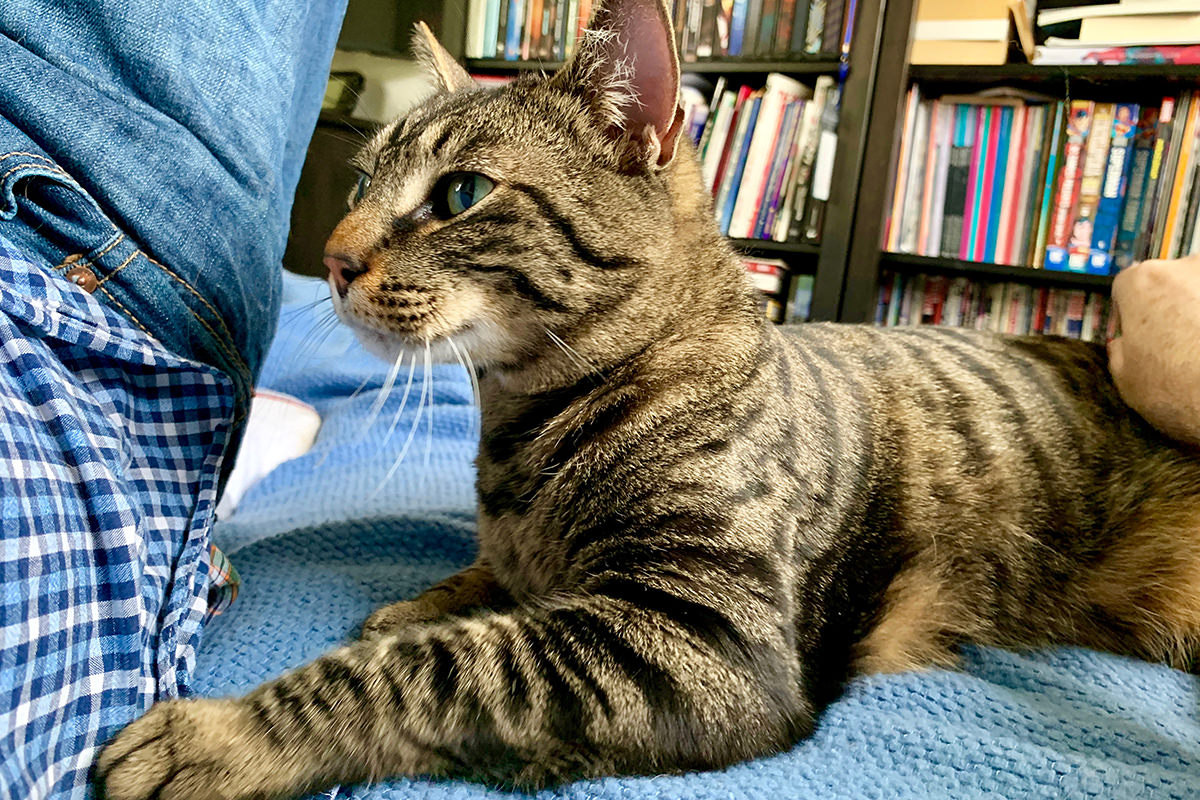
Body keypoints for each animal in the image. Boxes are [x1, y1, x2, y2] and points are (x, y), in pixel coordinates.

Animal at [98, 1, 1200, 800]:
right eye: (365, 179)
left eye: (460, 196)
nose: (329, 258)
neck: (521, 428)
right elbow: (473, 593)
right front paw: (427, 598)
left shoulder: (701, 637)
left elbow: (442, 668)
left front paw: (223, 734)